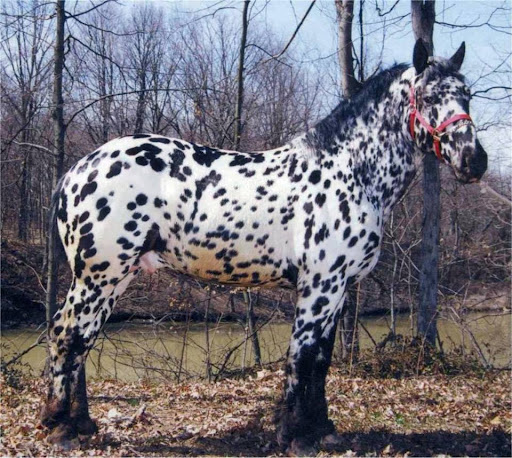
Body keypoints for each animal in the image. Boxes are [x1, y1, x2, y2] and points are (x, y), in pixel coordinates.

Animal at [42, 40, 486, 454]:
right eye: (427, 97)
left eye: (467, 94)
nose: (474, 160)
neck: (349, 173)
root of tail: (77, 171)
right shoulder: (320, 287)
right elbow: (302, 358)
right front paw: (296, 436)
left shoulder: (338, 290)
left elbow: (321, 361)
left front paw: (321, 429)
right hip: (99, 276)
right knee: (68, 335)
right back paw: (62, 428)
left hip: (112, 279)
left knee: (80, 338)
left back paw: (81, 423)